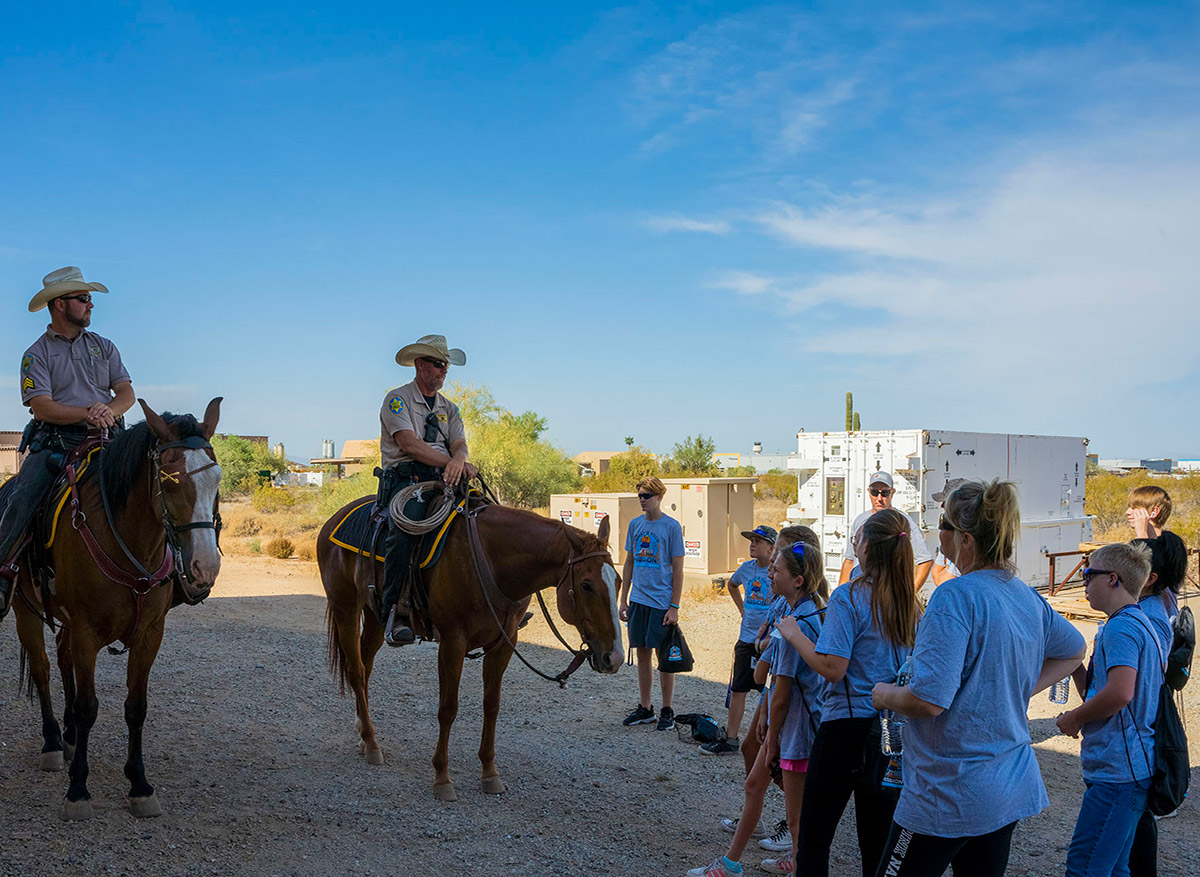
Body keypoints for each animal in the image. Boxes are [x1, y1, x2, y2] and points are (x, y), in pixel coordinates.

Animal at [9, 400, 223, 825]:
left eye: (217, 477)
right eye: (169, 478)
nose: (206, 567)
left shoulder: (149, 635)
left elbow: (135, 707)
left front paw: (140, 785)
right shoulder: (87, 632)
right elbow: (88, 707)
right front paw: (78, 790)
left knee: (62, 659)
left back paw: (69, 738)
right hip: (26, 610)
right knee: (42, 668)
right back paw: (53, 742)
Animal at [319, 494, 624, 801]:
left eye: (619, 581)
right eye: (586, 585)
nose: (615, 657)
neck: (491, 560)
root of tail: (334, 519)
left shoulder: (504, 643)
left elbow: (492, 705)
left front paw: (489, 773)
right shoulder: (453, 642)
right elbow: (448, 708)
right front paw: (442, 777)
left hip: (375, 615)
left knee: (365, 665)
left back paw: (363, 732)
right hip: (345, 607)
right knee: (356, 671)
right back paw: (371, 743)